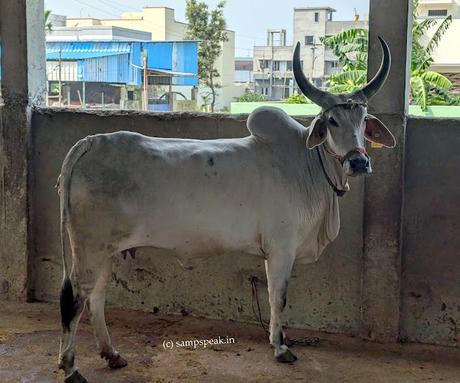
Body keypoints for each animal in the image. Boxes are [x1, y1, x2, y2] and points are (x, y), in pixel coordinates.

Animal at [57, 36, 396, 383]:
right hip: (90, 248)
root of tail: (91, 142)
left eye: (363, 121)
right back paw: (71, 367)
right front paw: (280, 347)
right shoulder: (281, 249)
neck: (307, 164)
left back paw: (111, 354)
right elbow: (278, 297)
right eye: (331, 121)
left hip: (105, 251)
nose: (359, 162)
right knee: (74, 298)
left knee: (95, 298)